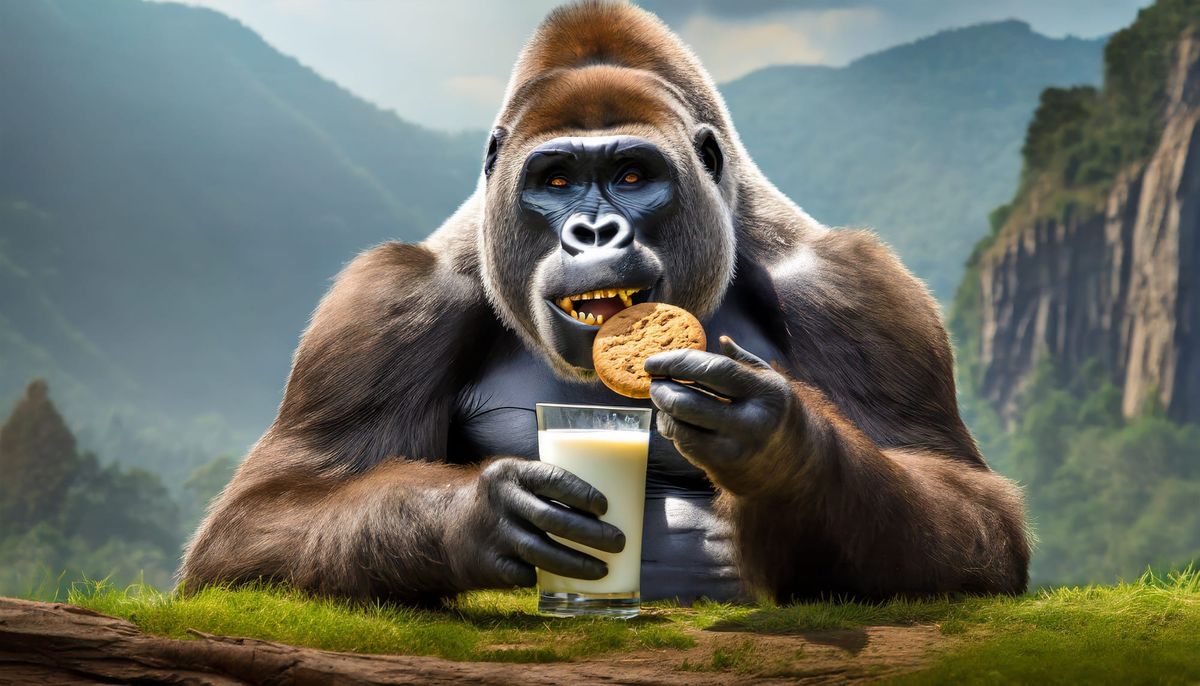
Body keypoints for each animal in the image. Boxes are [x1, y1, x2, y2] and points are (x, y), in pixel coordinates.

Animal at [180, 0, 1029, 605]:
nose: (593, 231)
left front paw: (783, 449)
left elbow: (969, 504)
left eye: (631, 175)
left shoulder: (856, 289)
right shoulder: (389, 303)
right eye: (555, 180)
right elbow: (258, 516)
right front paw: (483, 516)